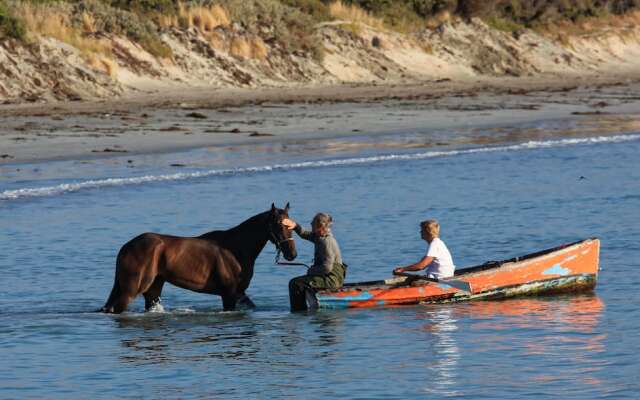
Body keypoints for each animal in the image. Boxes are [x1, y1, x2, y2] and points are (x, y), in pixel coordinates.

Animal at [100, 203, 298, 312]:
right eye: (278, 225)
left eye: (291, 225)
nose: (292, 254)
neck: (235, 249)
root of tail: (127, 246)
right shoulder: (228, 294)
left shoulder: (239, 293)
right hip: (131, 290)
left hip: (153, 289)